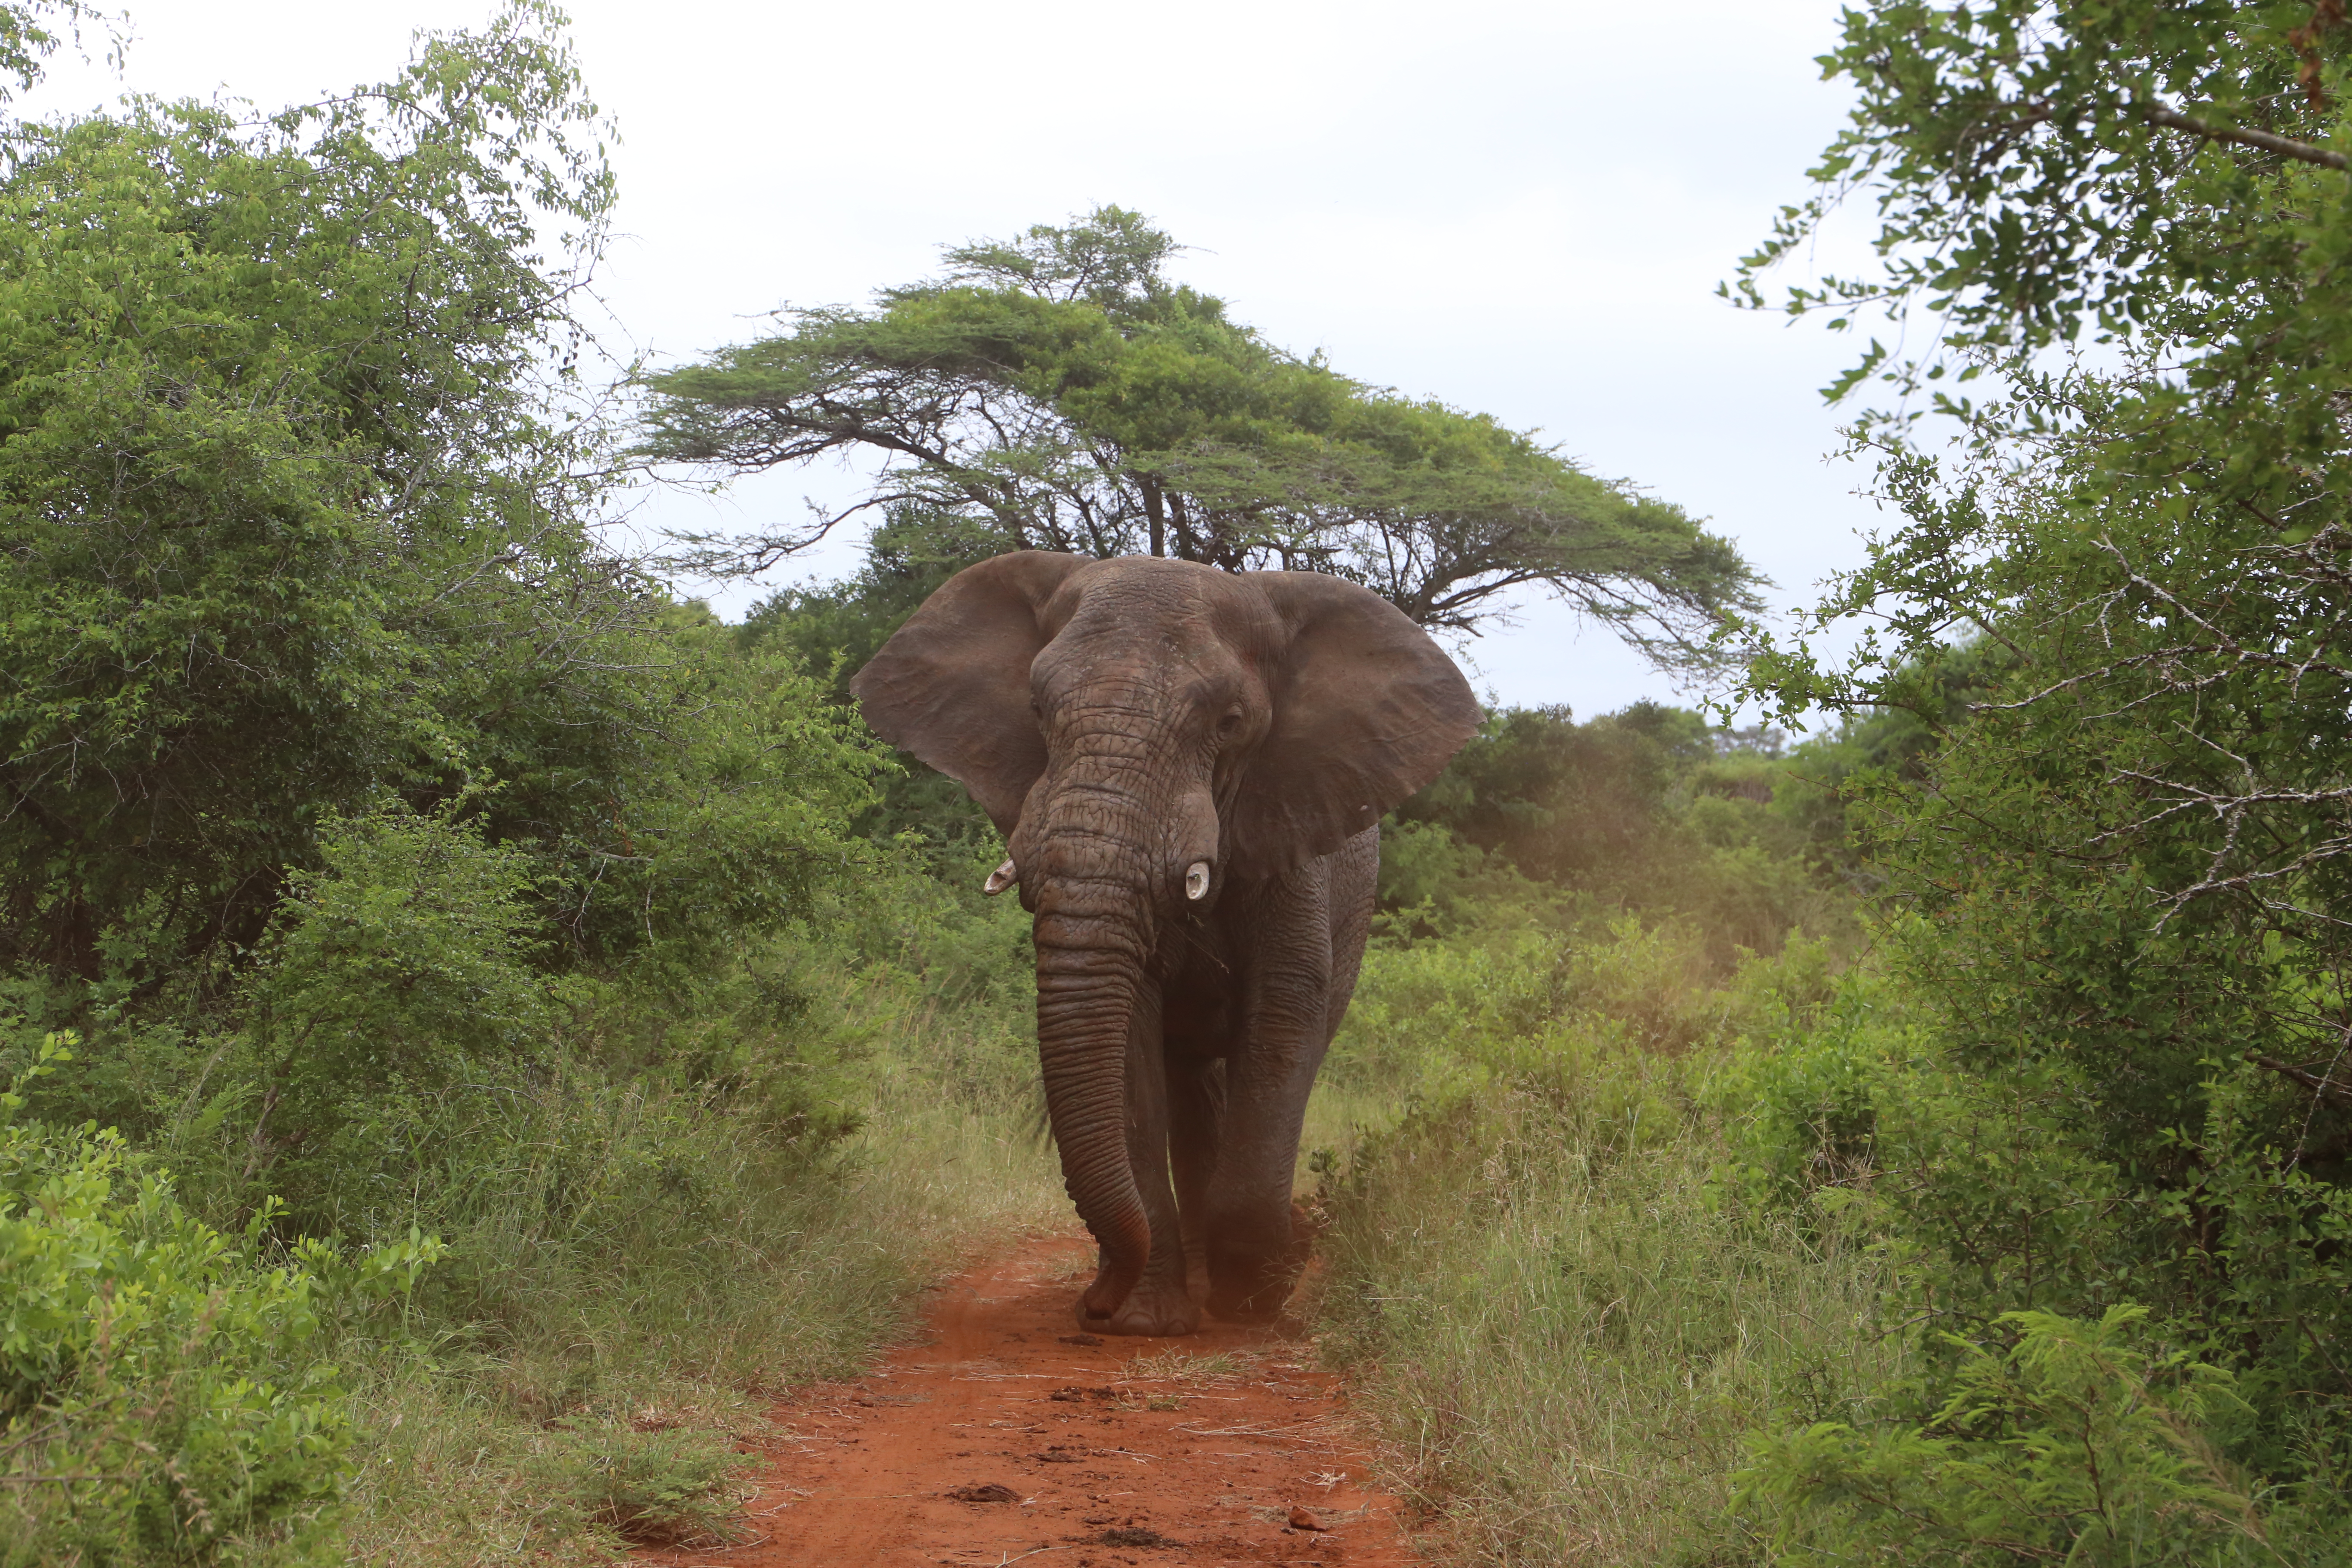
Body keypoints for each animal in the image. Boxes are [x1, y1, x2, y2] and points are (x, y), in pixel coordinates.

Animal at [852, 551, 1478, 1335]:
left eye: (1230, 722)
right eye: (1036, 711)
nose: (1091, 1306)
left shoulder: (1291, 839)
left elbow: (1283, 1017)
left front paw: (1255, 1299)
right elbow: (1130, 1040)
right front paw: (1149, 1319)